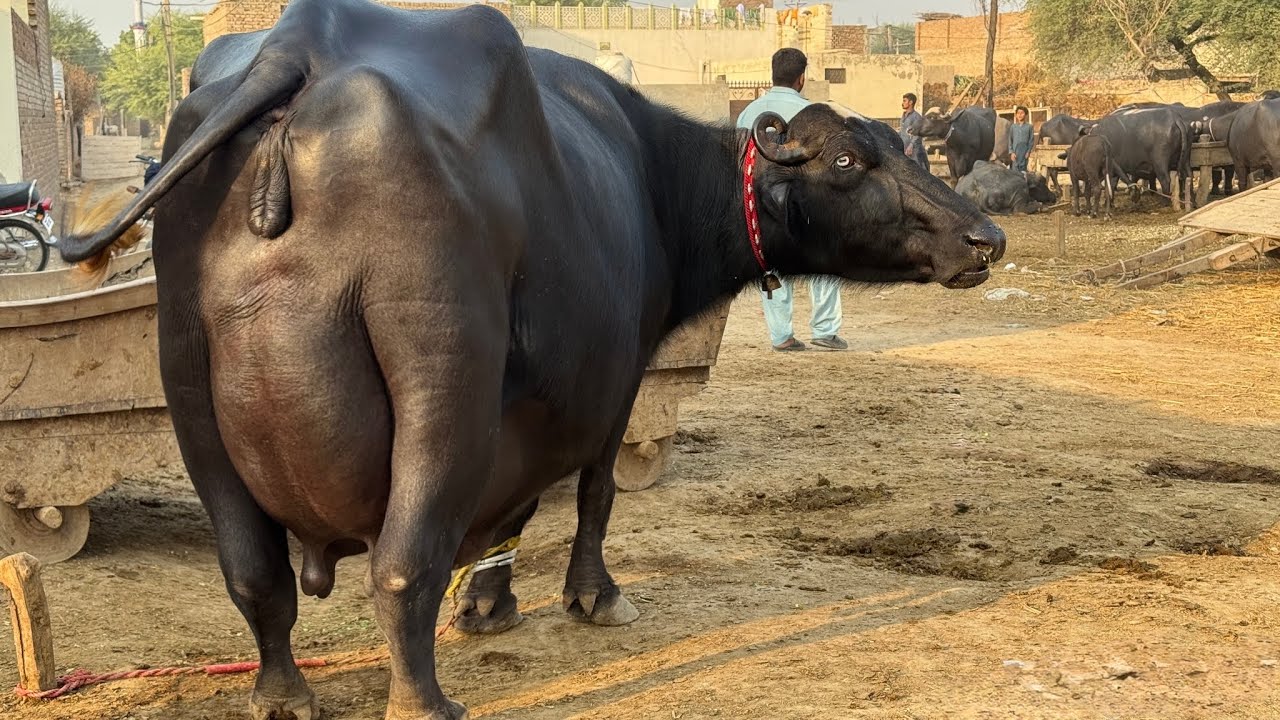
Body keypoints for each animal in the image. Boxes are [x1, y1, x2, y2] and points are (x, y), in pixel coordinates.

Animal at [57, 0, 1005, 718]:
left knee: (255, 574)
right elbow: (587, 494)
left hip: (186, 379)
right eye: (848, 160)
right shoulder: (613, 379)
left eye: (900, 145)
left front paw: (488, 603)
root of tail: (295, 53)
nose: (984, 239)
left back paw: (283, 695)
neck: (650, 179)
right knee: (403, 562)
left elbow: (510, 511)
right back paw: (425, 703)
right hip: (443, 374)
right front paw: (589, 596)